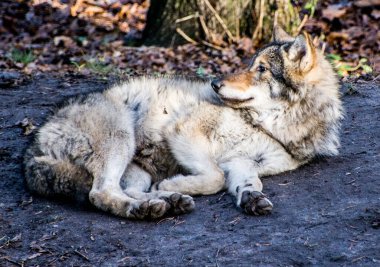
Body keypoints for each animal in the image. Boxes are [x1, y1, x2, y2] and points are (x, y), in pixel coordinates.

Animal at [24, 26, 344, 220]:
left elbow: (250, 181)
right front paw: (181, 183)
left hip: (136, 170)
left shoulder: (243, 162)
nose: (215, 83)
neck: (270, 126)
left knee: (127, 189)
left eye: (262, 69)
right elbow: (216, 177)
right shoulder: (184, 131)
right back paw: (149, 205)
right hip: (120, 136)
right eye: (250, 65)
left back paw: (167, 200)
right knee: (99, 193)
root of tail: (33, 147)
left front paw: (251, 197)